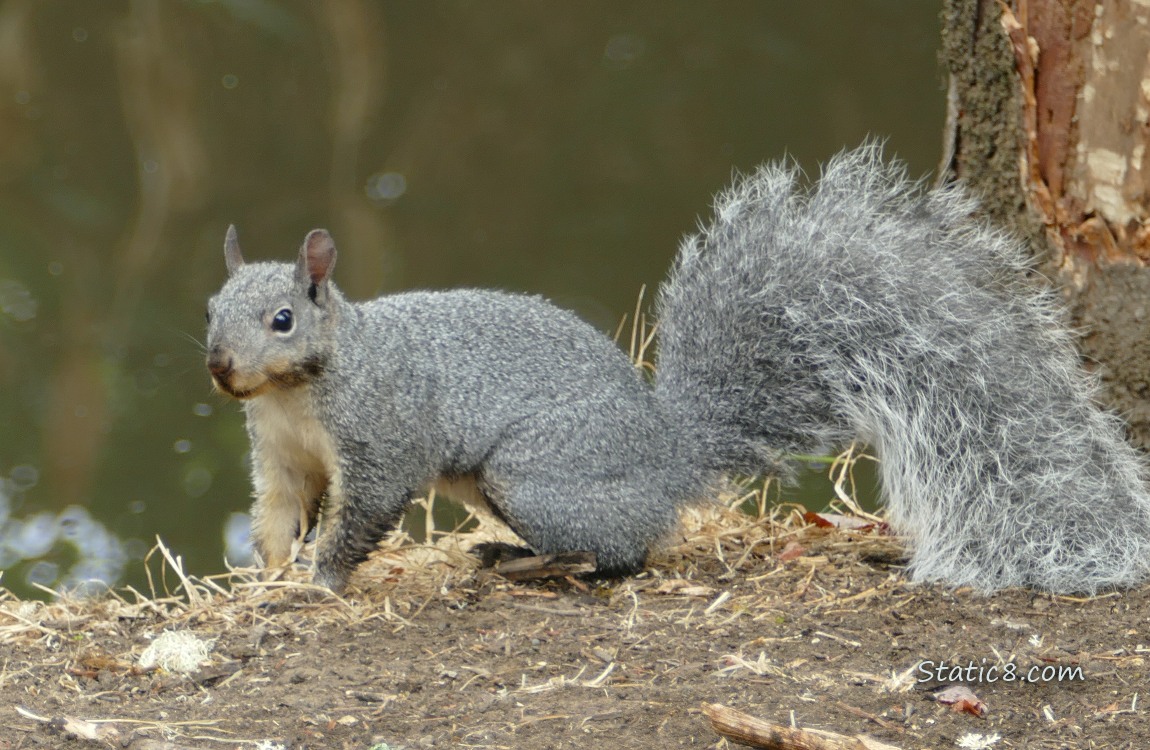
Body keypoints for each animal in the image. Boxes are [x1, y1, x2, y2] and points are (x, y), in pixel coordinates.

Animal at [206, 144, 1150, 595]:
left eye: (282, 318)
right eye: (209, 308)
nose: (219, 369)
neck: (300, 393)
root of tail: (670, 457)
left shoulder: (382, 433)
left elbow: (362, 516)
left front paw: (321, 584)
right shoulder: (283, 455)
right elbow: (281, 513)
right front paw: (268, 572)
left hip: (533, 477)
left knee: (620, 553)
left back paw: (532, 563)